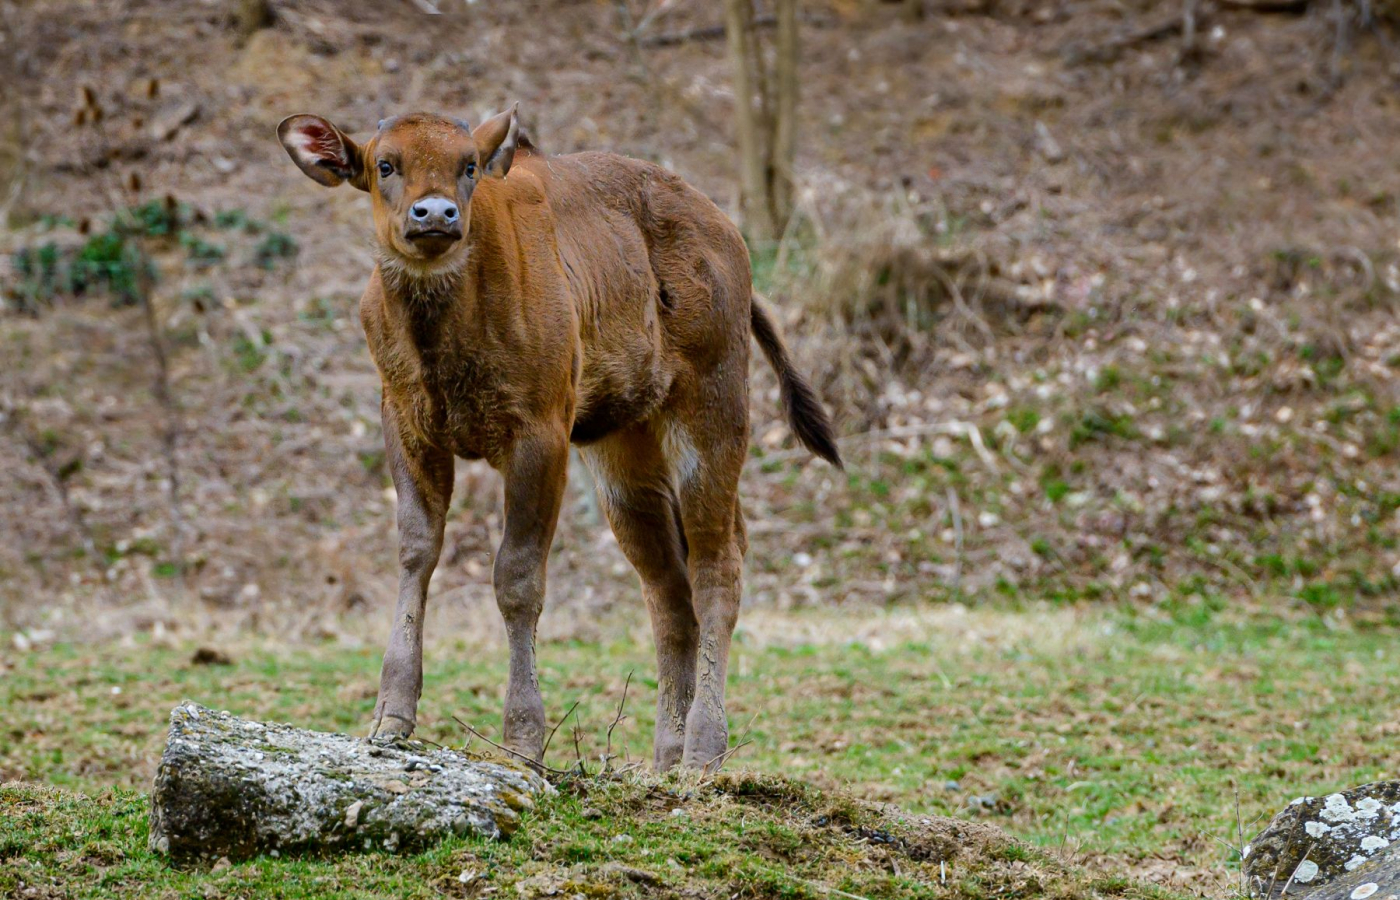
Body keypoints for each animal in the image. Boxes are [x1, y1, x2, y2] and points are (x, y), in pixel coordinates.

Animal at [278, 103, 834, 767]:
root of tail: (734, 244)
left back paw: (703, 750)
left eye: (469, 165)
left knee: (718, 564)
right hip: (622, 451)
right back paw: (664, 757)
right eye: (385, 164)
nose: (435, 214)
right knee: (668, 591)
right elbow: (417, 551)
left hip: (714, 409)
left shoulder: (540, 431)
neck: (445, 349)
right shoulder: (406, 421)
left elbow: (517, 578)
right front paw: (391, 716)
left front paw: (523, 738)